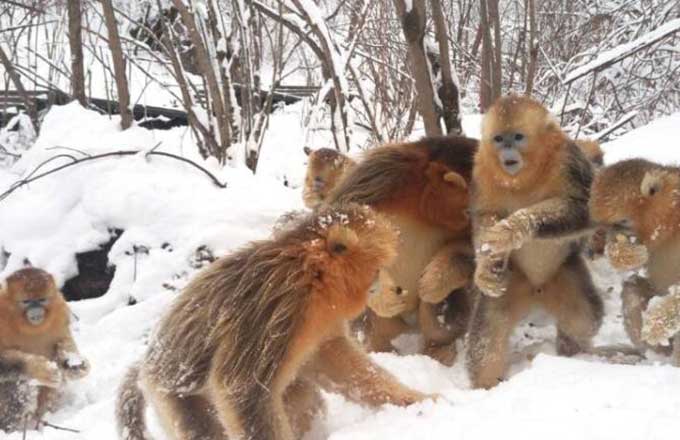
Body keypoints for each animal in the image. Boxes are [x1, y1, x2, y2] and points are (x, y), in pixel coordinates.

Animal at [0, 268, 90, 432]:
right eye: (26, 302)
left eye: (42, 300)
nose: (36, 310)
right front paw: (40, 369)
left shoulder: (60, 309)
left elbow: (63, 341)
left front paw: (74, 365)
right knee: (21, 385)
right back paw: (11, 428)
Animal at [116, 204, 434, 440]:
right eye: (378, 270)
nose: (395, 289)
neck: (310, 274)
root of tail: (147, 362)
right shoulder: (276, 310)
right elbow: (242, 390)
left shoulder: (318, 321)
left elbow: (337, 363)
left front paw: (413, 401)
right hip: (172, 396)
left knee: (301, 393)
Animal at [329, 136, 477, 366]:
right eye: (468, 208)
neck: (421, 210)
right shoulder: (380, 178)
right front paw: (382, 296)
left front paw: (436, 280)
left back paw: (438, 349)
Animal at [466, 95, 604, 389]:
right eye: (499, 139)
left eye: (518, 137)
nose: (507, 154)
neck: (524, 178)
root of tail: (536, 289)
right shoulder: (481, 170)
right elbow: (485, 217)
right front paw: (484, 270)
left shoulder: (568, 158)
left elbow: (587, 209)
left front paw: (515, 227)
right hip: (512, 283)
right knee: (488, 335)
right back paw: (486, 385)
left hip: (565, 273)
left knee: (583, 319)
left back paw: (572, 352)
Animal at [589, 158, 680, 364]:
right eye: (604, 225)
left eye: (623, 222)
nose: (609, 235)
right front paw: (624, 253)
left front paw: (657, 323)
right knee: (632, 287)